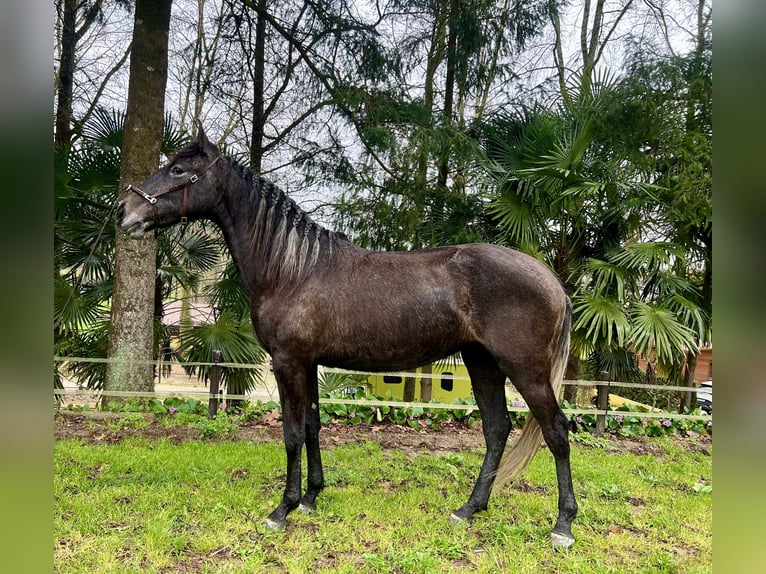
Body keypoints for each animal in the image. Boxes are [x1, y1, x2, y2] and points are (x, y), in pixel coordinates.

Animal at [117, 126, 580, 548]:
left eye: (178, 169)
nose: (124, 210)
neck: (292, 269)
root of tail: (551, 280)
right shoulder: (309, 364)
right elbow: (313, 426)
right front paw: (310, 498)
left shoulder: (288, 362)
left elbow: (292, 433)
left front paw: (282, 509)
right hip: (481, 362)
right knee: (497, 429)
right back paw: (469, 509)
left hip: (524, 369)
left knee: (556, 431)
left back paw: (562, 527)